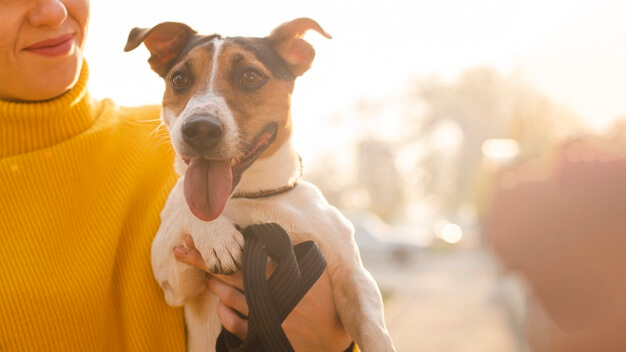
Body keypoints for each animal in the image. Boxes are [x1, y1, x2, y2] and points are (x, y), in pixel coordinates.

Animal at [124, 17, 392, 350]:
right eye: (179, 79)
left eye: (250, 76)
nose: (200, 128)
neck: (252, 196)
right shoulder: (172, 280)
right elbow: (188, 208)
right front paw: (216, 235)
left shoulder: (353, 277)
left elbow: (374, 332)